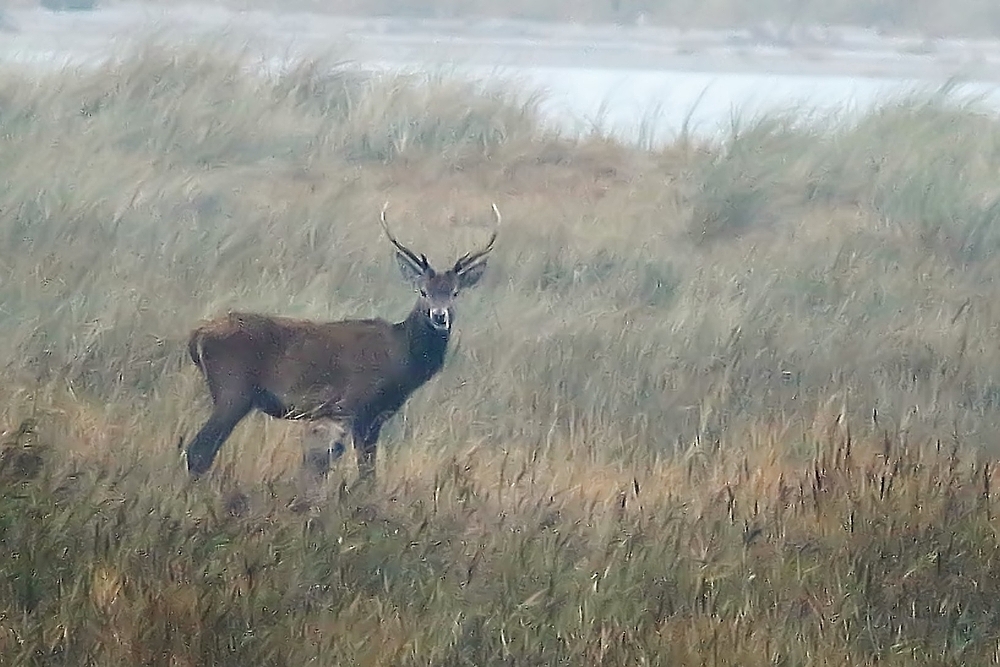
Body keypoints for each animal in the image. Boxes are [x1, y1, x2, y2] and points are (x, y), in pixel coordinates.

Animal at [181, 202, 500, 486]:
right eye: (423, 291)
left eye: (455, 293)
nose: (439, 316)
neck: (401, 363)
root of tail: (197, 335)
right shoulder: (356, 405)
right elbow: (364, 474)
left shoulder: (375, 417)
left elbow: (367, 472)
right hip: (233, 389)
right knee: (198, 450)